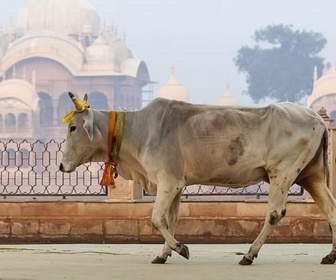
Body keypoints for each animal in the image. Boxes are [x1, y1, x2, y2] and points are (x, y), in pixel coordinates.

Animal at [59, 92, 336, 264]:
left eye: (73, 127)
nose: (61, 165)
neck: (139, 131)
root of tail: (316, 119)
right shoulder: (176, 185)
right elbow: (170, 221)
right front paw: (163, 254)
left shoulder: (168, 182)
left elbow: (156, 219)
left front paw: (181, 248)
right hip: (312, 176)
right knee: (331, 210)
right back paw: (330, 256)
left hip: (282, 173)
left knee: (274, 214)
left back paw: (248, 254)